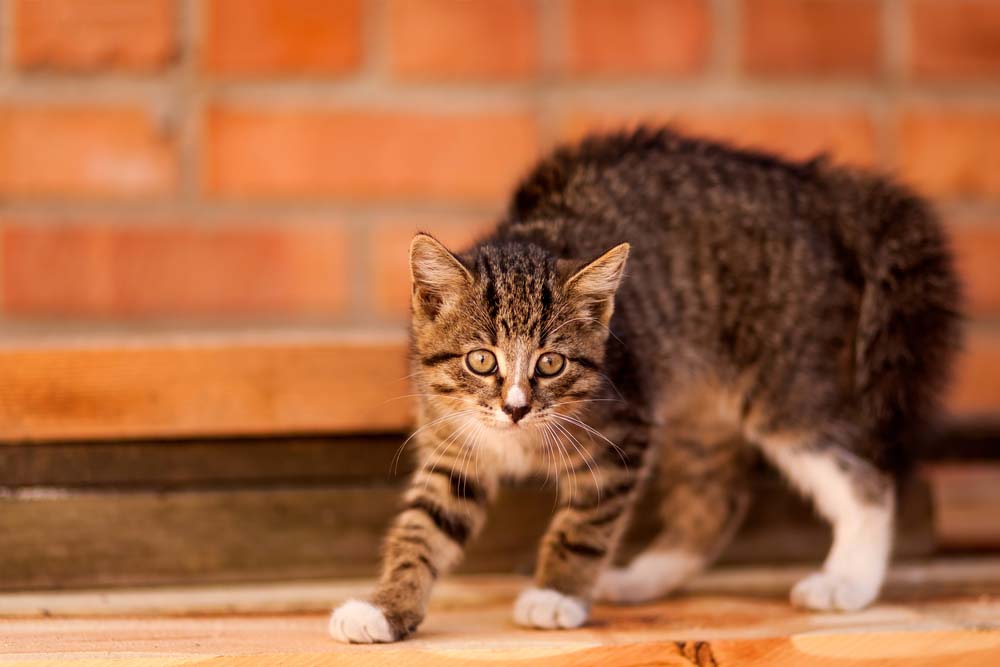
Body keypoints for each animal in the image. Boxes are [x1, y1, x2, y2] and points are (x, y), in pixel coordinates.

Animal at [330, 128, 960, 644]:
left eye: (551, 364)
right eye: (481, 360)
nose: (515, 408)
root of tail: (815, 187)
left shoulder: (624, 431)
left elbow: (583, 523)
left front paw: (557, 593)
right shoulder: (454, 445)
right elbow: (422, 528)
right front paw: (385, 605)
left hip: (784, 384)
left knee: (865, 477)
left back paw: (849, 580)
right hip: (697, 404)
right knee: (716, 498)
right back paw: (641, 579)